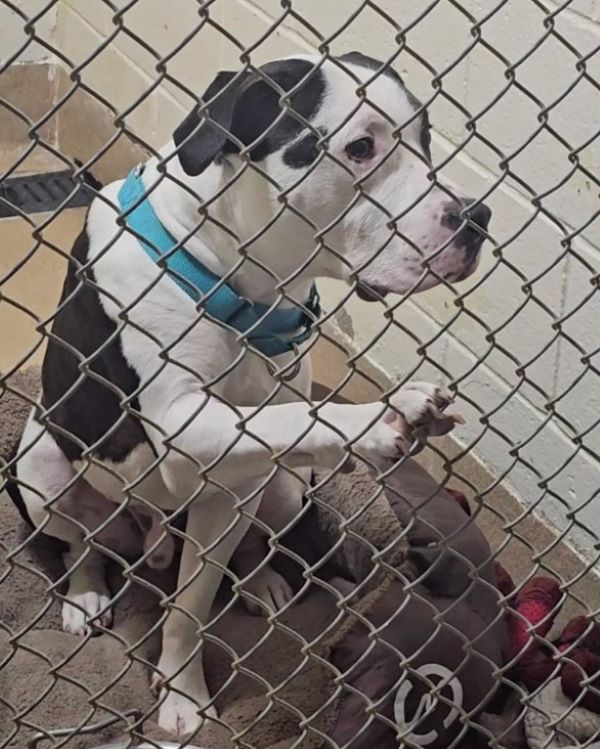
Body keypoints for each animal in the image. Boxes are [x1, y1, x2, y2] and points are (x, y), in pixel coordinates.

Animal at [14, 54, 490, 736]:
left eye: (425, 139)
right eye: (360, 148)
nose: (478, 218)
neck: (238, 284)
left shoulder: (230, 483)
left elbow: (191, 606)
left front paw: (181, 693)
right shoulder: (180, 427)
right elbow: (297, 415)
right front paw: (380, 416)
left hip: (280, 493)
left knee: (247, 537)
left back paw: (260, 580)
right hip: (41, 467)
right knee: (79, 540)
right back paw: (83, 593)